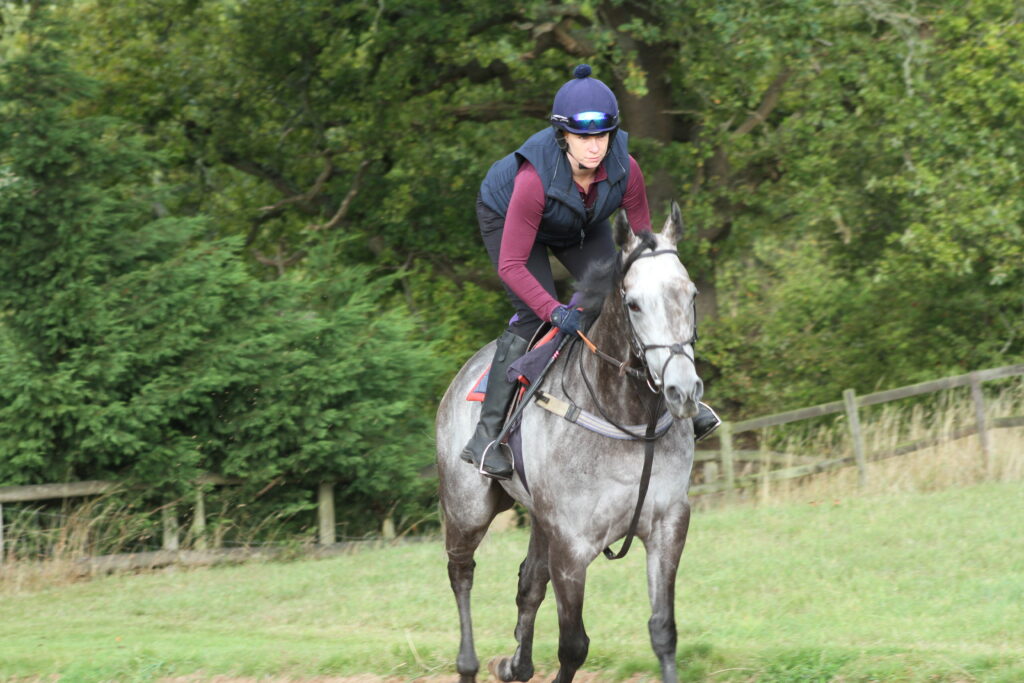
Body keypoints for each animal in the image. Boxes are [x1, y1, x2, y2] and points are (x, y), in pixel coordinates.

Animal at [436, 203, 703, 683]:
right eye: (634, 304)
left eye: (690, 295)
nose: (683, 390)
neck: (626, 418)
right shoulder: (571, 544)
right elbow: (573, 645)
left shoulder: (668, 525)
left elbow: (663, 631)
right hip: (467, 510)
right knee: (461, 573)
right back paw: (468, 664)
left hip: (538, 520)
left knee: (528, 583)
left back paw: (516, 664)